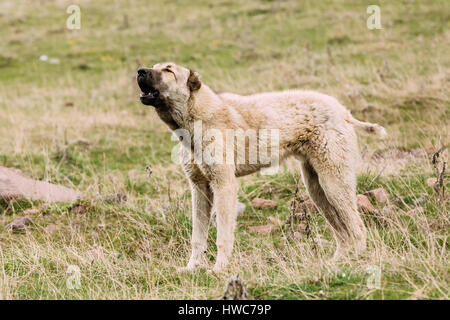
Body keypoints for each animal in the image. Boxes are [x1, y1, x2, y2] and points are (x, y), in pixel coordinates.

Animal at [136, 61, 386, 272]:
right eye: (155, 66)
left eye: (168, 70)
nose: (140, 71)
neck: (197, 117)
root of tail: (344, 112)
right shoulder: (199, 188)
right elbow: (197, 237)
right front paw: (191, 268)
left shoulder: (224, 185)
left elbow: (223, 236)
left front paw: (219, 270)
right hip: (317, 189)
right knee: (343, 233)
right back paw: (335, 264)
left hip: (333, 183)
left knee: (357, 228)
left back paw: (355, 262)